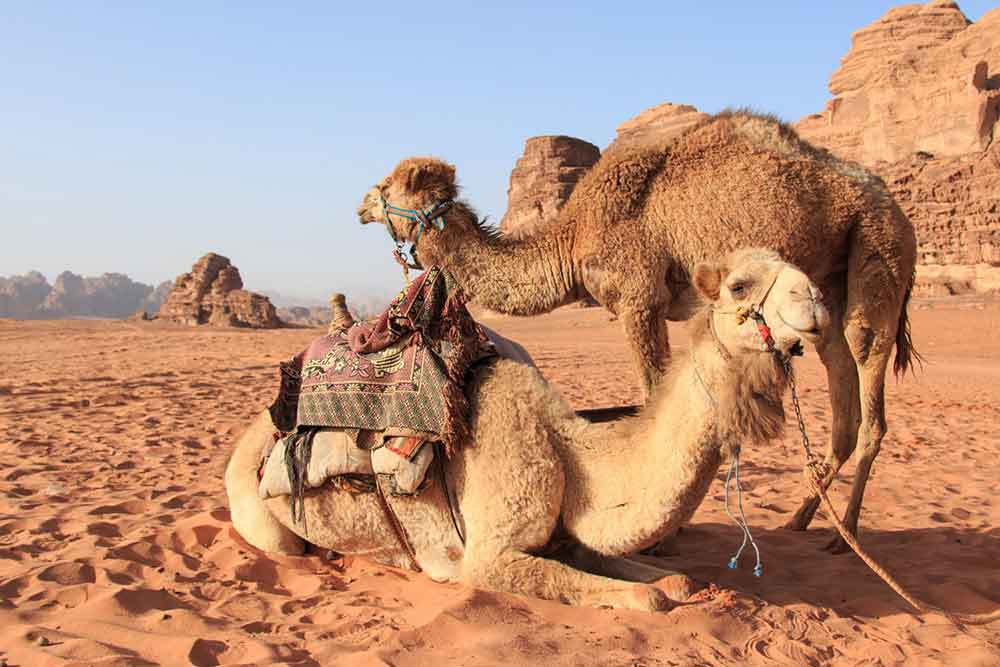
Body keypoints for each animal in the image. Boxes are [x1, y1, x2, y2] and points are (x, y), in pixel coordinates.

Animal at [226, 249, 829, 611]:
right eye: (739, 285)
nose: (816, 299)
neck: (566, 453)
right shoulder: (489, 559)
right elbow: (648, 599)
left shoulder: (570, 536)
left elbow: (677, 581)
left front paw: (681, 582)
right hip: (262, 517)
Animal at [355, 111, 918, 552]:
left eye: (386, 186)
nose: (360, 206)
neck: (570, 242)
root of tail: (891, 203)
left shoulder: (638, 299)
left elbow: (651, 391)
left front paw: (668, 533)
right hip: (826, 291)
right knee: (842, 397)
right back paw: (803, 520)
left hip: (880, 248)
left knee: (869, 384)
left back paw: (845, 534)